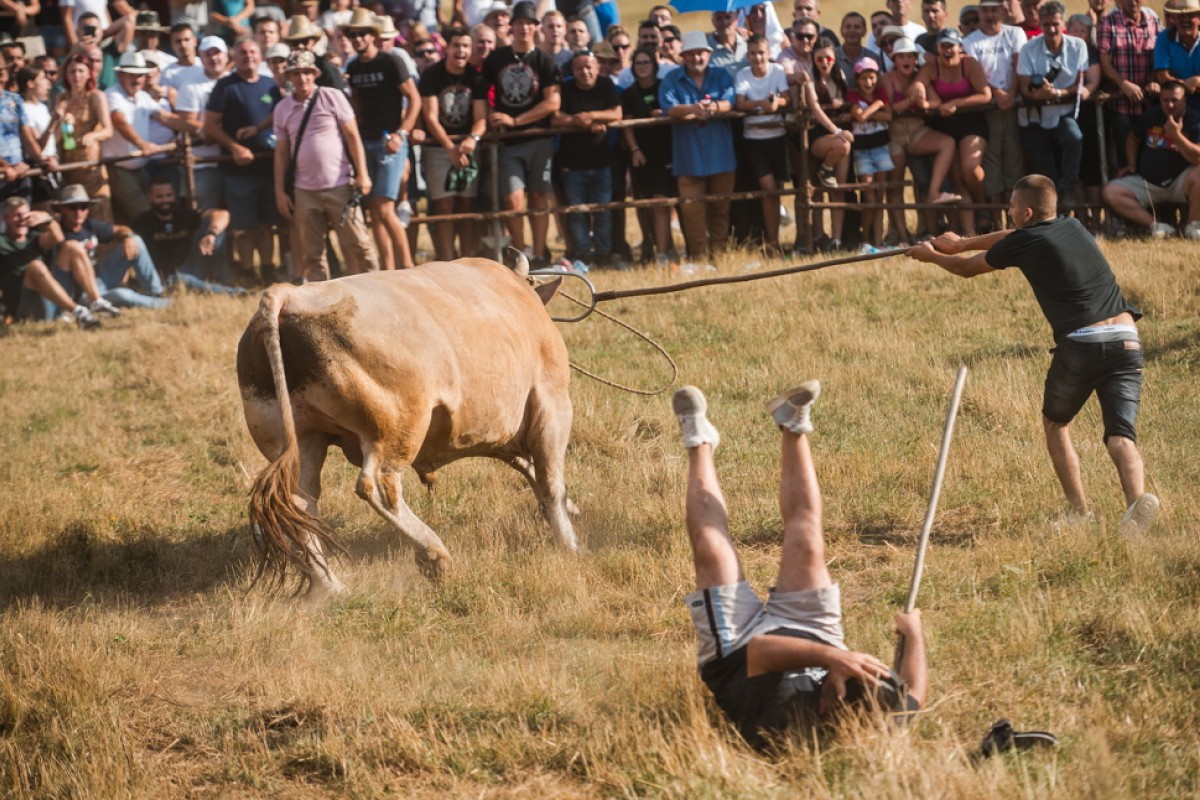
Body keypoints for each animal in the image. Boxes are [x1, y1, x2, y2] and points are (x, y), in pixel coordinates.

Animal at [236, 257, 578, 599]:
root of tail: (289, 296)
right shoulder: (551, 403)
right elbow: (550, 480)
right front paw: (570, 543)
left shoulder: (499, 431)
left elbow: (529, 467)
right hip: (397, 428)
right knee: (377, 485)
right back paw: (434, 553)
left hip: (301, 439)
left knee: (301, 504)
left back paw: (330, 586)